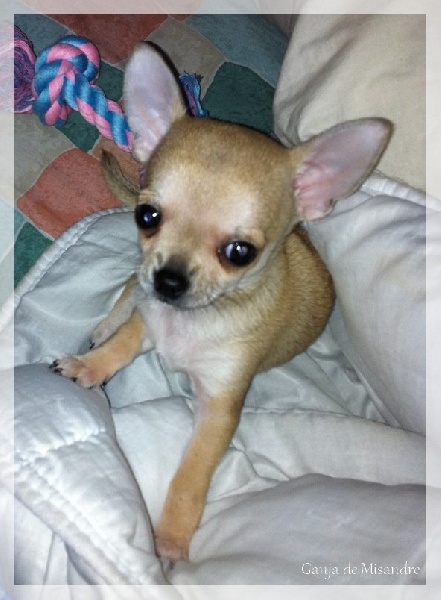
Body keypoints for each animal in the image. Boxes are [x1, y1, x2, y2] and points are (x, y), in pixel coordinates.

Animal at [51, 43, 392, 562]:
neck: (186, 324)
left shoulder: (217, 411)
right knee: (131, 284)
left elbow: (190, 479)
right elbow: (124, 342)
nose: (169, 280)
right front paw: (90, 366)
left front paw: (170, 543)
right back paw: (109, 322)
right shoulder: (149, 318)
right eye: (146, 216)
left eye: (239, 253)